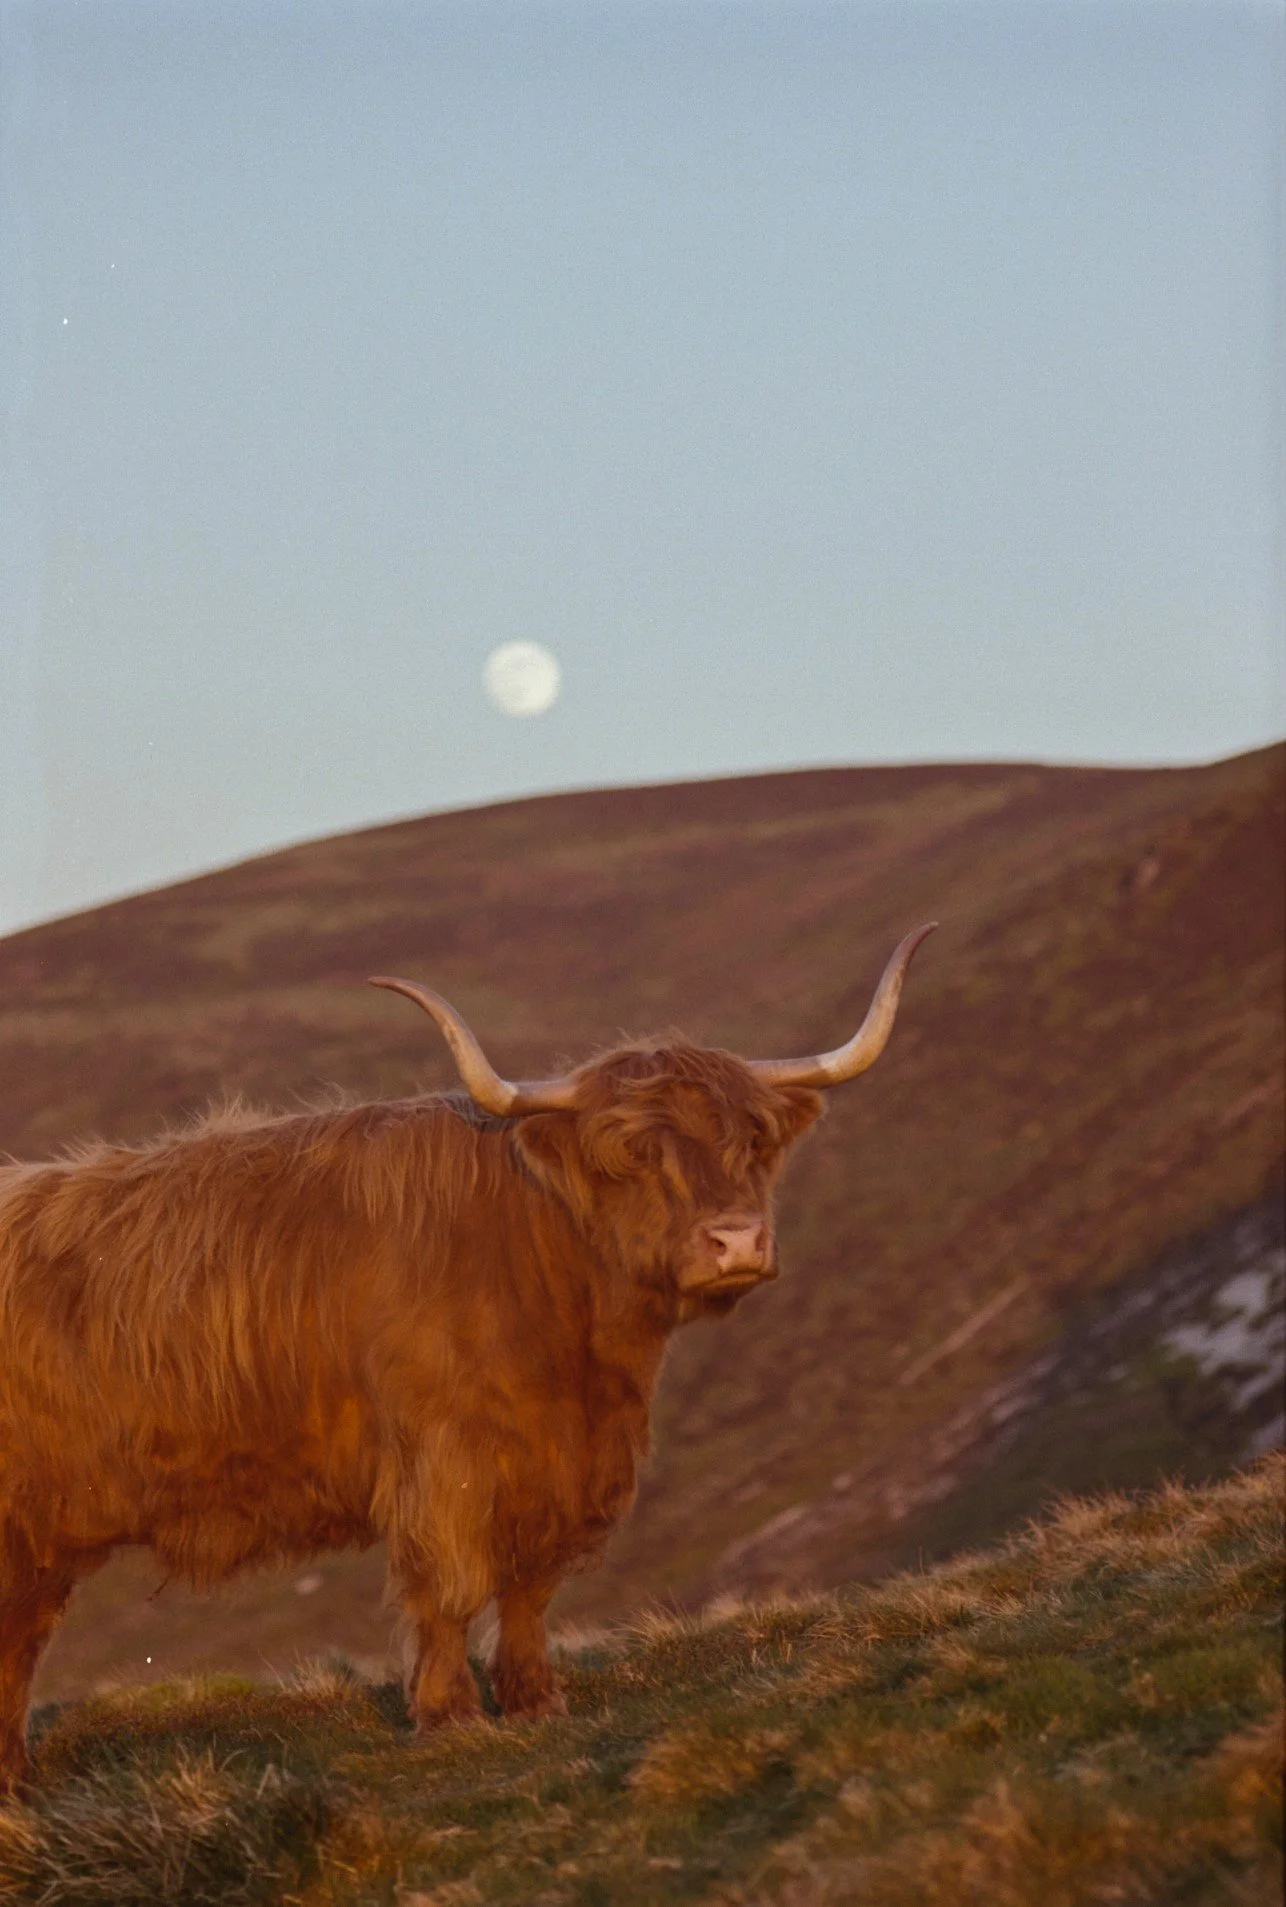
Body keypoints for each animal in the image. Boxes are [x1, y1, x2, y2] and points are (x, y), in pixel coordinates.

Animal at [0, 924, 934, 1788]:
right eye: (628, 1153)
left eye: (753, 1140)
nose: (736, 1241)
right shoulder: (441, 1457)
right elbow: (448, 1581)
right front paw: (450, 1714)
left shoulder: (559, 1464)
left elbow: (529, 1583)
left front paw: (533, 1698)